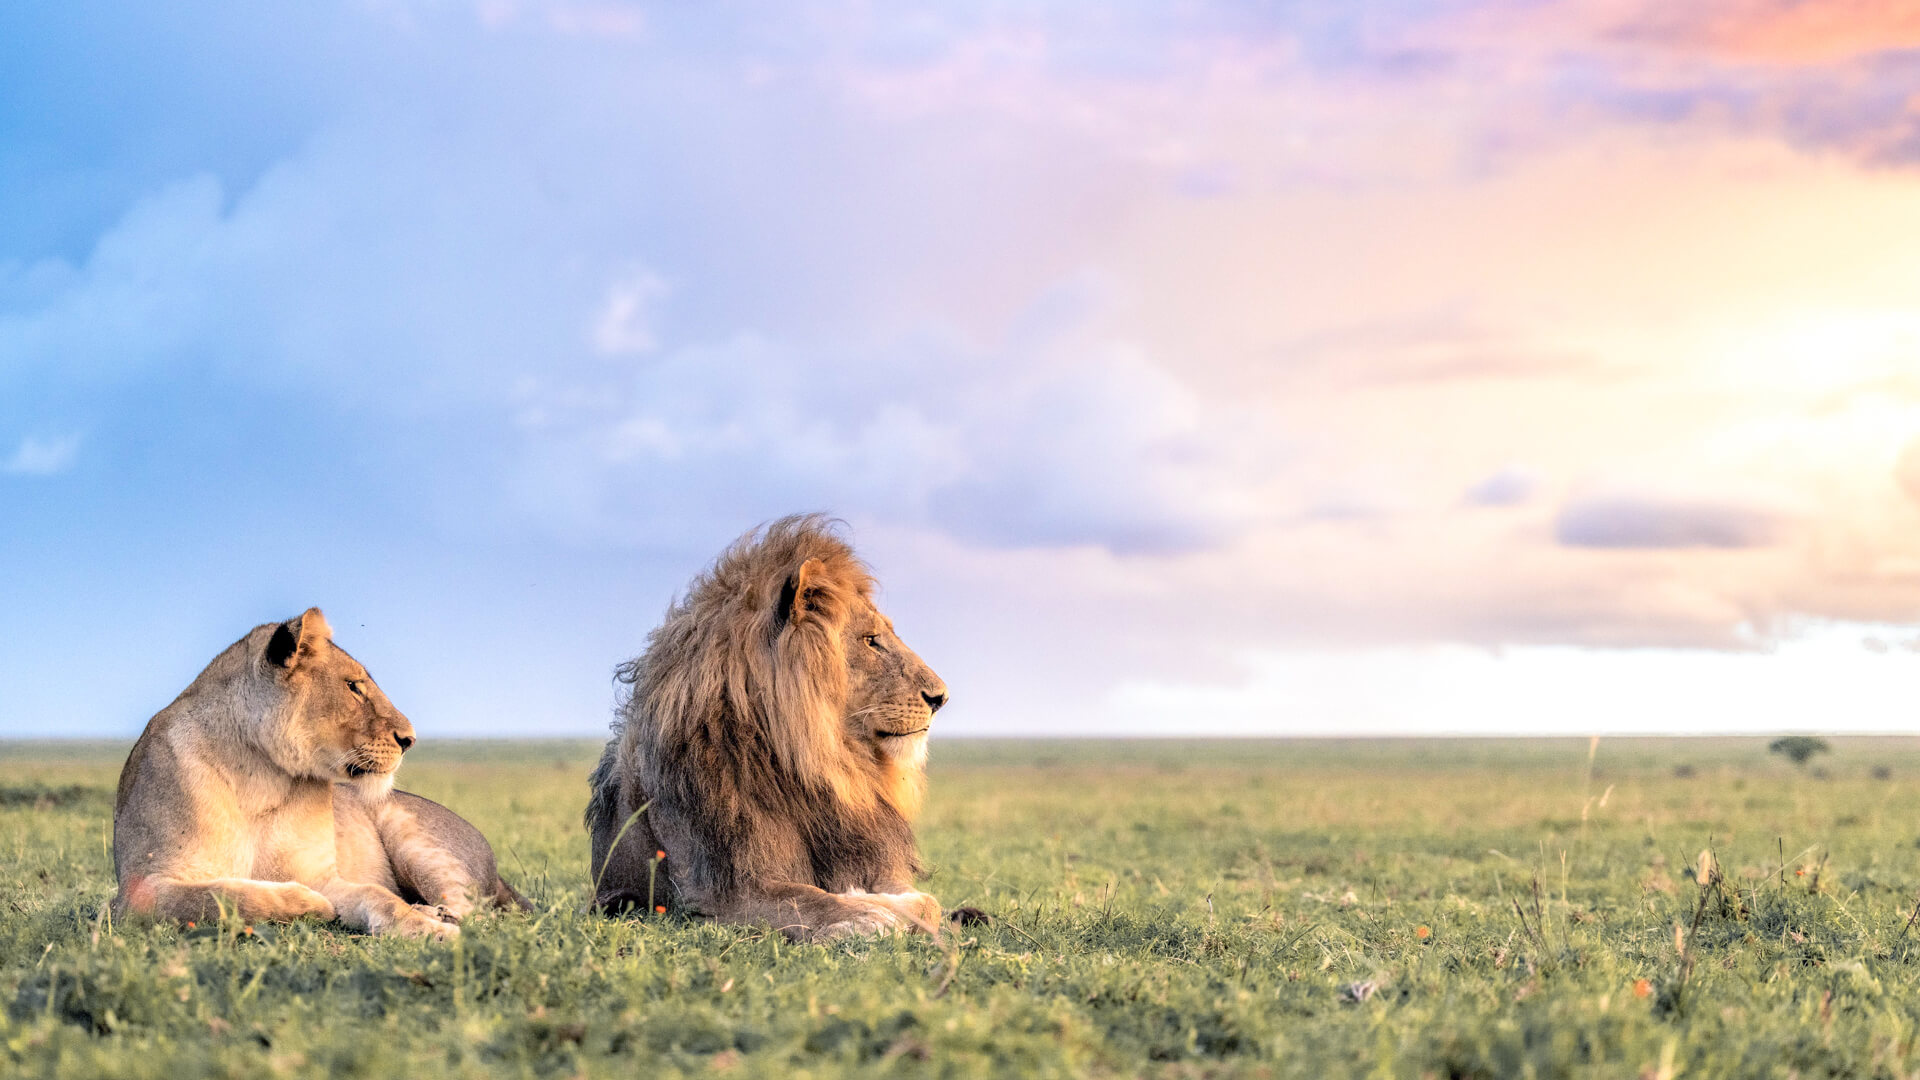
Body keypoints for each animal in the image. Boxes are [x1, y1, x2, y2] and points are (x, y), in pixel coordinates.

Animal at [112, 609, 529, 939]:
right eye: (354, 687)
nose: (410, 739)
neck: (260, 774)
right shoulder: (136, 891)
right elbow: (222, 895)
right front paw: (310, 902)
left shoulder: (326, 876)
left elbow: (380, 898)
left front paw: (430, 930)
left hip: (417, 842)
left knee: (477, 911)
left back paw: (435, 912)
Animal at [585, 515, 951, 941]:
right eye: (871, 640)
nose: (941, 697)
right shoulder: (718, 895)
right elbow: (807, 899)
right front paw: (866, 915)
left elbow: (928, 903)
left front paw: (879, 903)